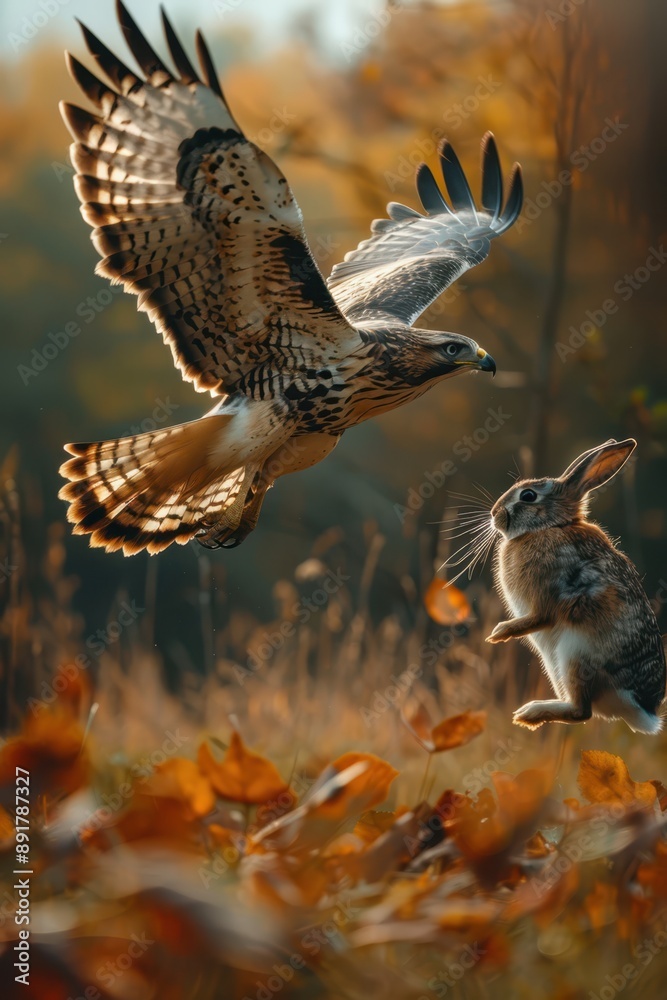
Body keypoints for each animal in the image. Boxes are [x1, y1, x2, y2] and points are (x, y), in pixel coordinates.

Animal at [485, 438, 666, 734]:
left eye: (528, 496)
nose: (494, 514)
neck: (549, 527)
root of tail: (643, 711)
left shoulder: (548, 593)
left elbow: (540, 617)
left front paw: (500, 632)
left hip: (575, 655)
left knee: (582, 711)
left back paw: (530, 713)